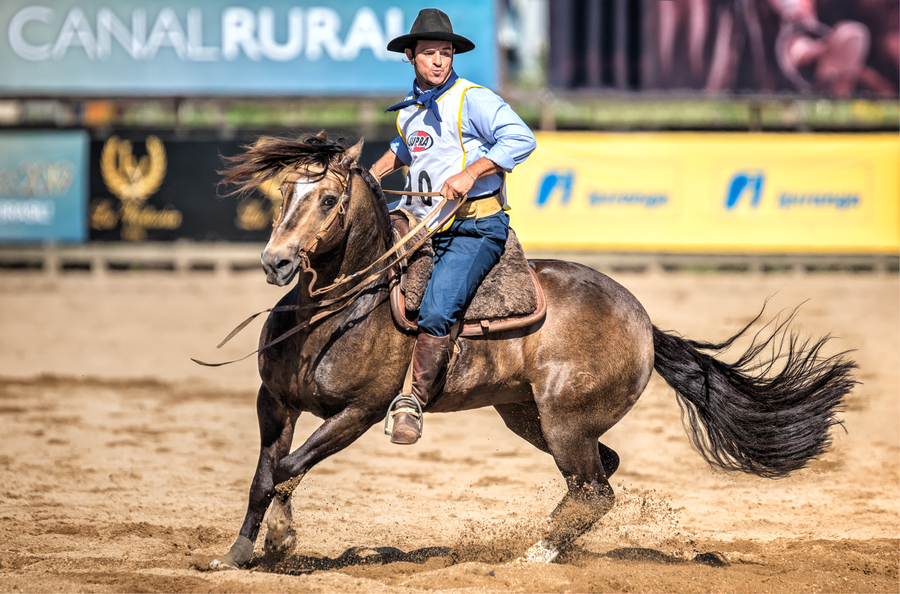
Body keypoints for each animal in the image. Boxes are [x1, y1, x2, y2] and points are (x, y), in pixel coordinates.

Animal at [206, 132, 856, 568]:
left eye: (327, 201)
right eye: (285, 191)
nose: (276, 262)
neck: (338, 311)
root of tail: (645, 323)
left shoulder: (359, 412)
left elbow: (288, 469)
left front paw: (281, 542)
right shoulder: (274, 402)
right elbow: (266, 476)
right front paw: (238, 554)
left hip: (565, 422)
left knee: (595, 491)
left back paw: (537, 552)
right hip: (529, 416)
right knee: (597, 479)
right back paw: (546, 541)